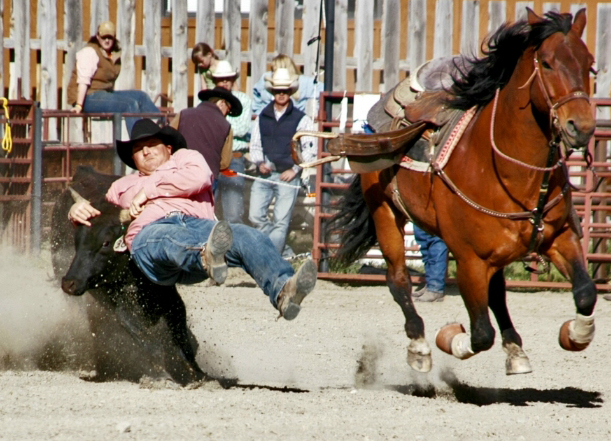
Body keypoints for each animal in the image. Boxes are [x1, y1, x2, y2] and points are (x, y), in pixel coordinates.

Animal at [330, 9, 596, 374]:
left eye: (589, 64)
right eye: (547, 62)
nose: (581, 127)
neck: (512, 174)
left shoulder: (560, 236)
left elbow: (586, 293)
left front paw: (574, 334)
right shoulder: (470, 259)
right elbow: (480, 334)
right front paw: (449, 338)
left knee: (496, 293)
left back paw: (515, 350)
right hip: (385, 213)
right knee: (398, 279)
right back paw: (419, 347)